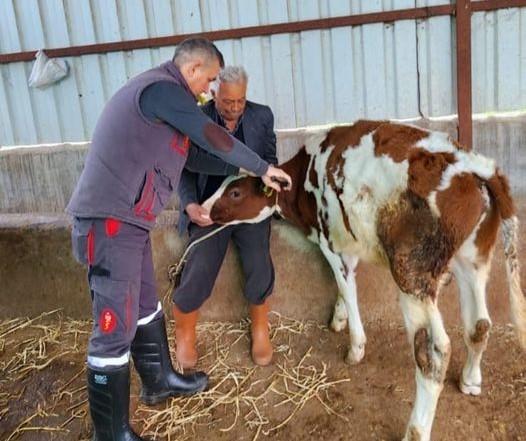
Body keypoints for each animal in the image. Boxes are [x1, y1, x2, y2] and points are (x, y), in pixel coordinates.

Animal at [203, 120, 526, 440]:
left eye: (235, 193)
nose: (201, 210)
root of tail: (474, 163)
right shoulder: (348, 240)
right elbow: (347, 282)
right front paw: (338, 317)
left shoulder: (329, 242)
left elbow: (347, 287)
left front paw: (355, 347)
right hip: (473, 259)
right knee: (479, 325)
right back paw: (470, 380)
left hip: (412, 275)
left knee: (434, 352)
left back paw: (416, 429)